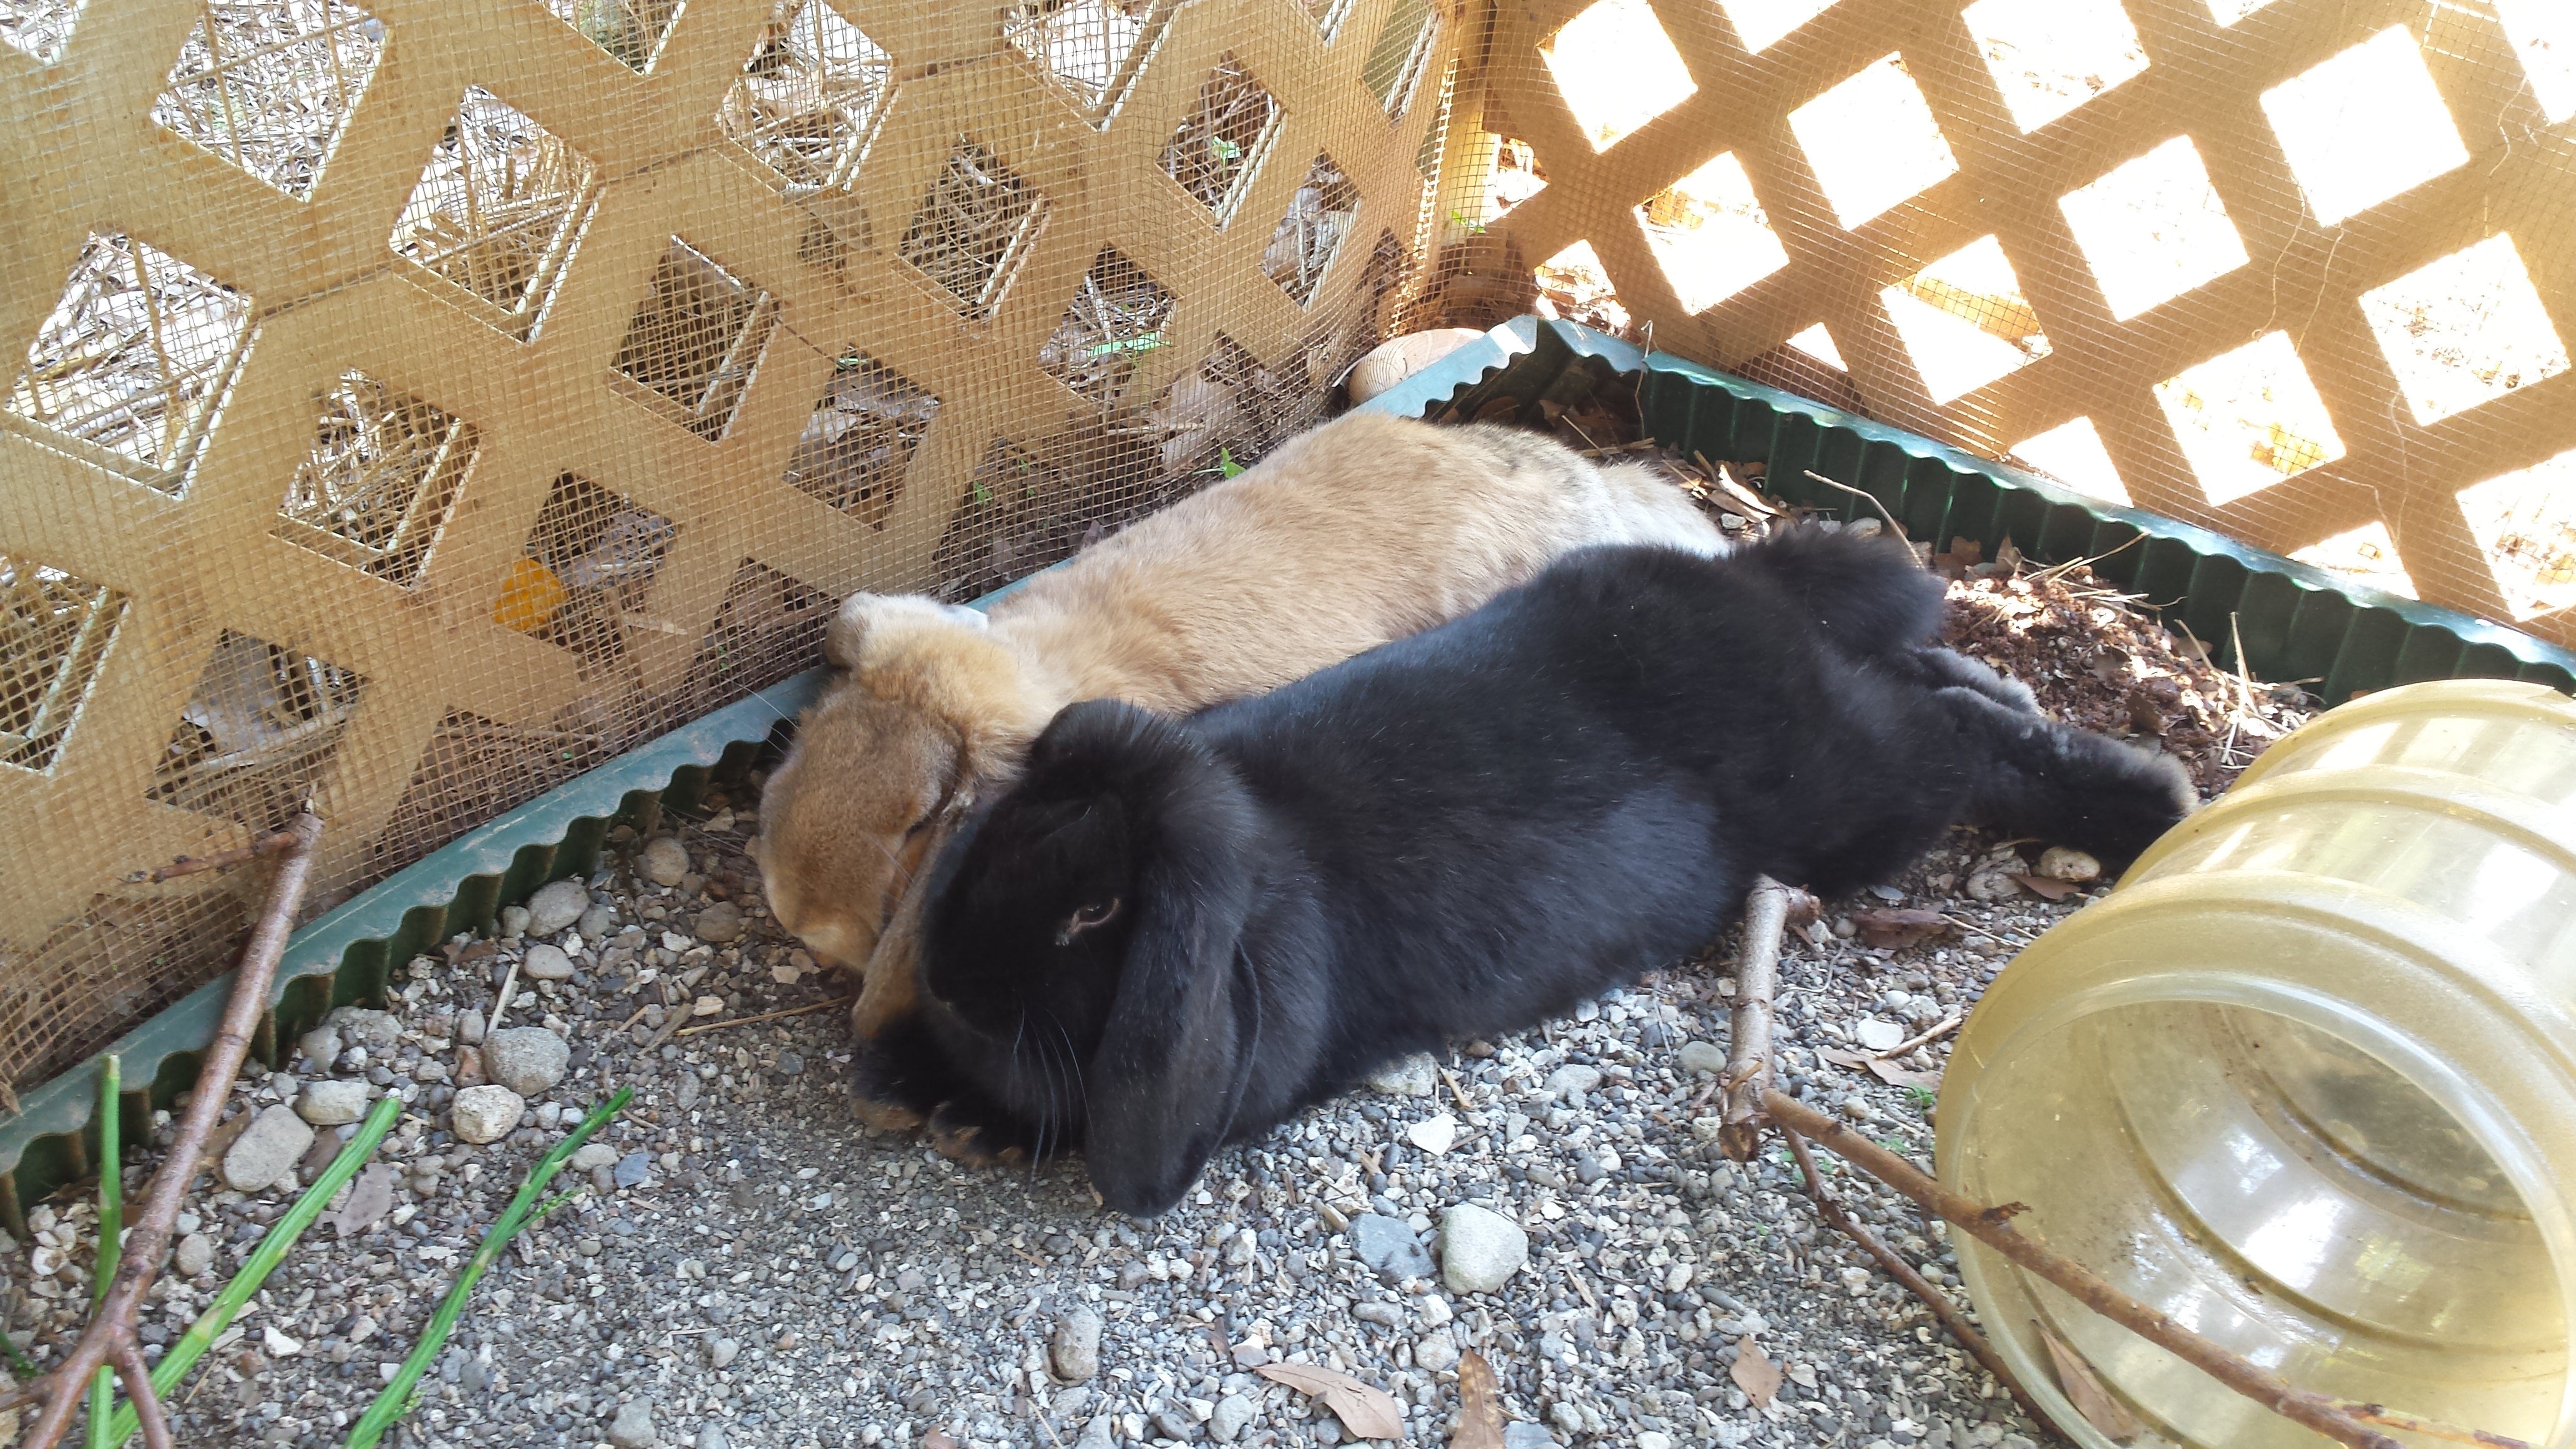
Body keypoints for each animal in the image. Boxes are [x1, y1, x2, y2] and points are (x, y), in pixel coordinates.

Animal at [865, 525, 2197, 1215]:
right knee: (1933, 681)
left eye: (1097, 909)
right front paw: (915, 1074)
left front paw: (968, 1112)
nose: (958, 982)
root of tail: (1746, 587)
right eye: (1000, 833)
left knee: (1957, 744)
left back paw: (2154, 802)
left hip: (1855, 796)